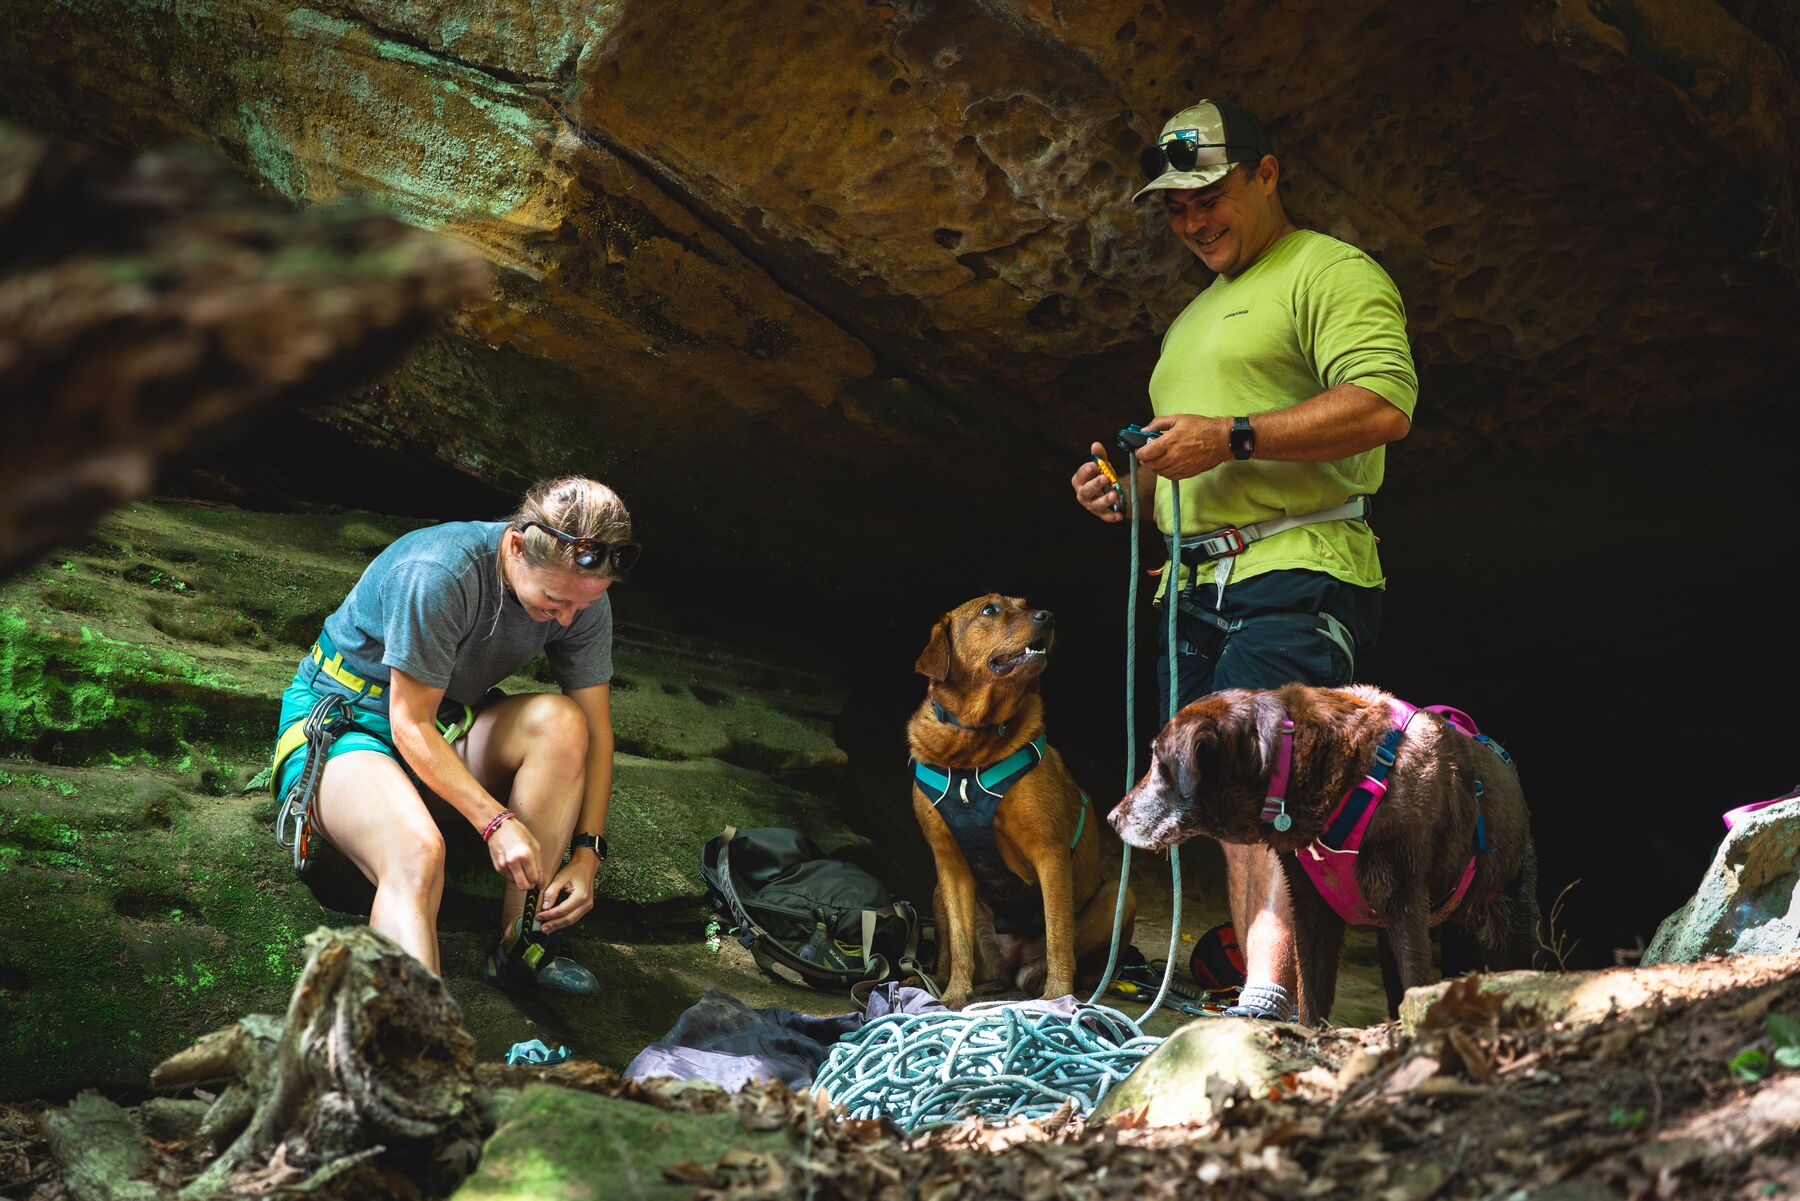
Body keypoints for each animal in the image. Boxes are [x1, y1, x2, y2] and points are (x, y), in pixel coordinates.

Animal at [907, 597, 1130, 1008]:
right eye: (989, 609)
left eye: (1025, 605)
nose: (1049, 617)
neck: (973, 744)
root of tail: (1011, 965)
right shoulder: (949, 862)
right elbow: (959, 945)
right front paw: (954, 994)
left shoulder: (1050, 853)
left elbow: (1059, 935)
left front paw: (1057, 994)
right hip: (938, 892)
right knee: (953, 953)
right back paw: (937, 981)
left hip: (1119, 896)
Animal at [1101, 684, 1540, 1022]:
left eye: (1160, 763)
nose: (1112, 817)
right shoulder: (1312, 906)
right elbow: (1312, 1000)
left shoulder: (1406, 904)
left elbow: (1416, 978)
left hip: (1509, 918)